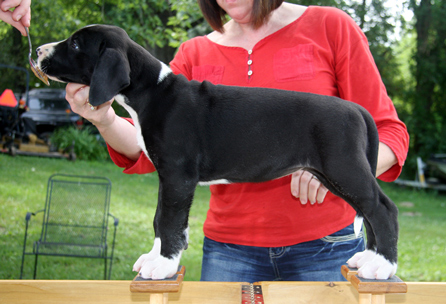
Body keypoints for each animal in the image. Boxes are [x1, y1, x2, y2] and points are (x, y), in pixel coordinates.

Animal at [36, 25, 398, 280]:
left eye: (76, 44)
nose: (37, 50)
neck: (153, 91)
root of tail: (356, 109)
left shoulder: (178, 177)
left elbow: (168, 221)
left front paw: (163, 265)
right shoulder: (167, 178)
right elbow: (159, 219)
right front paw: (156, 258)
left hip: (344, 168)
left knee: (383, 209)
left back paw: (382, 266)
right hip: (335, 175)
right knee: (369, 213)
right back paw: (369, 259)